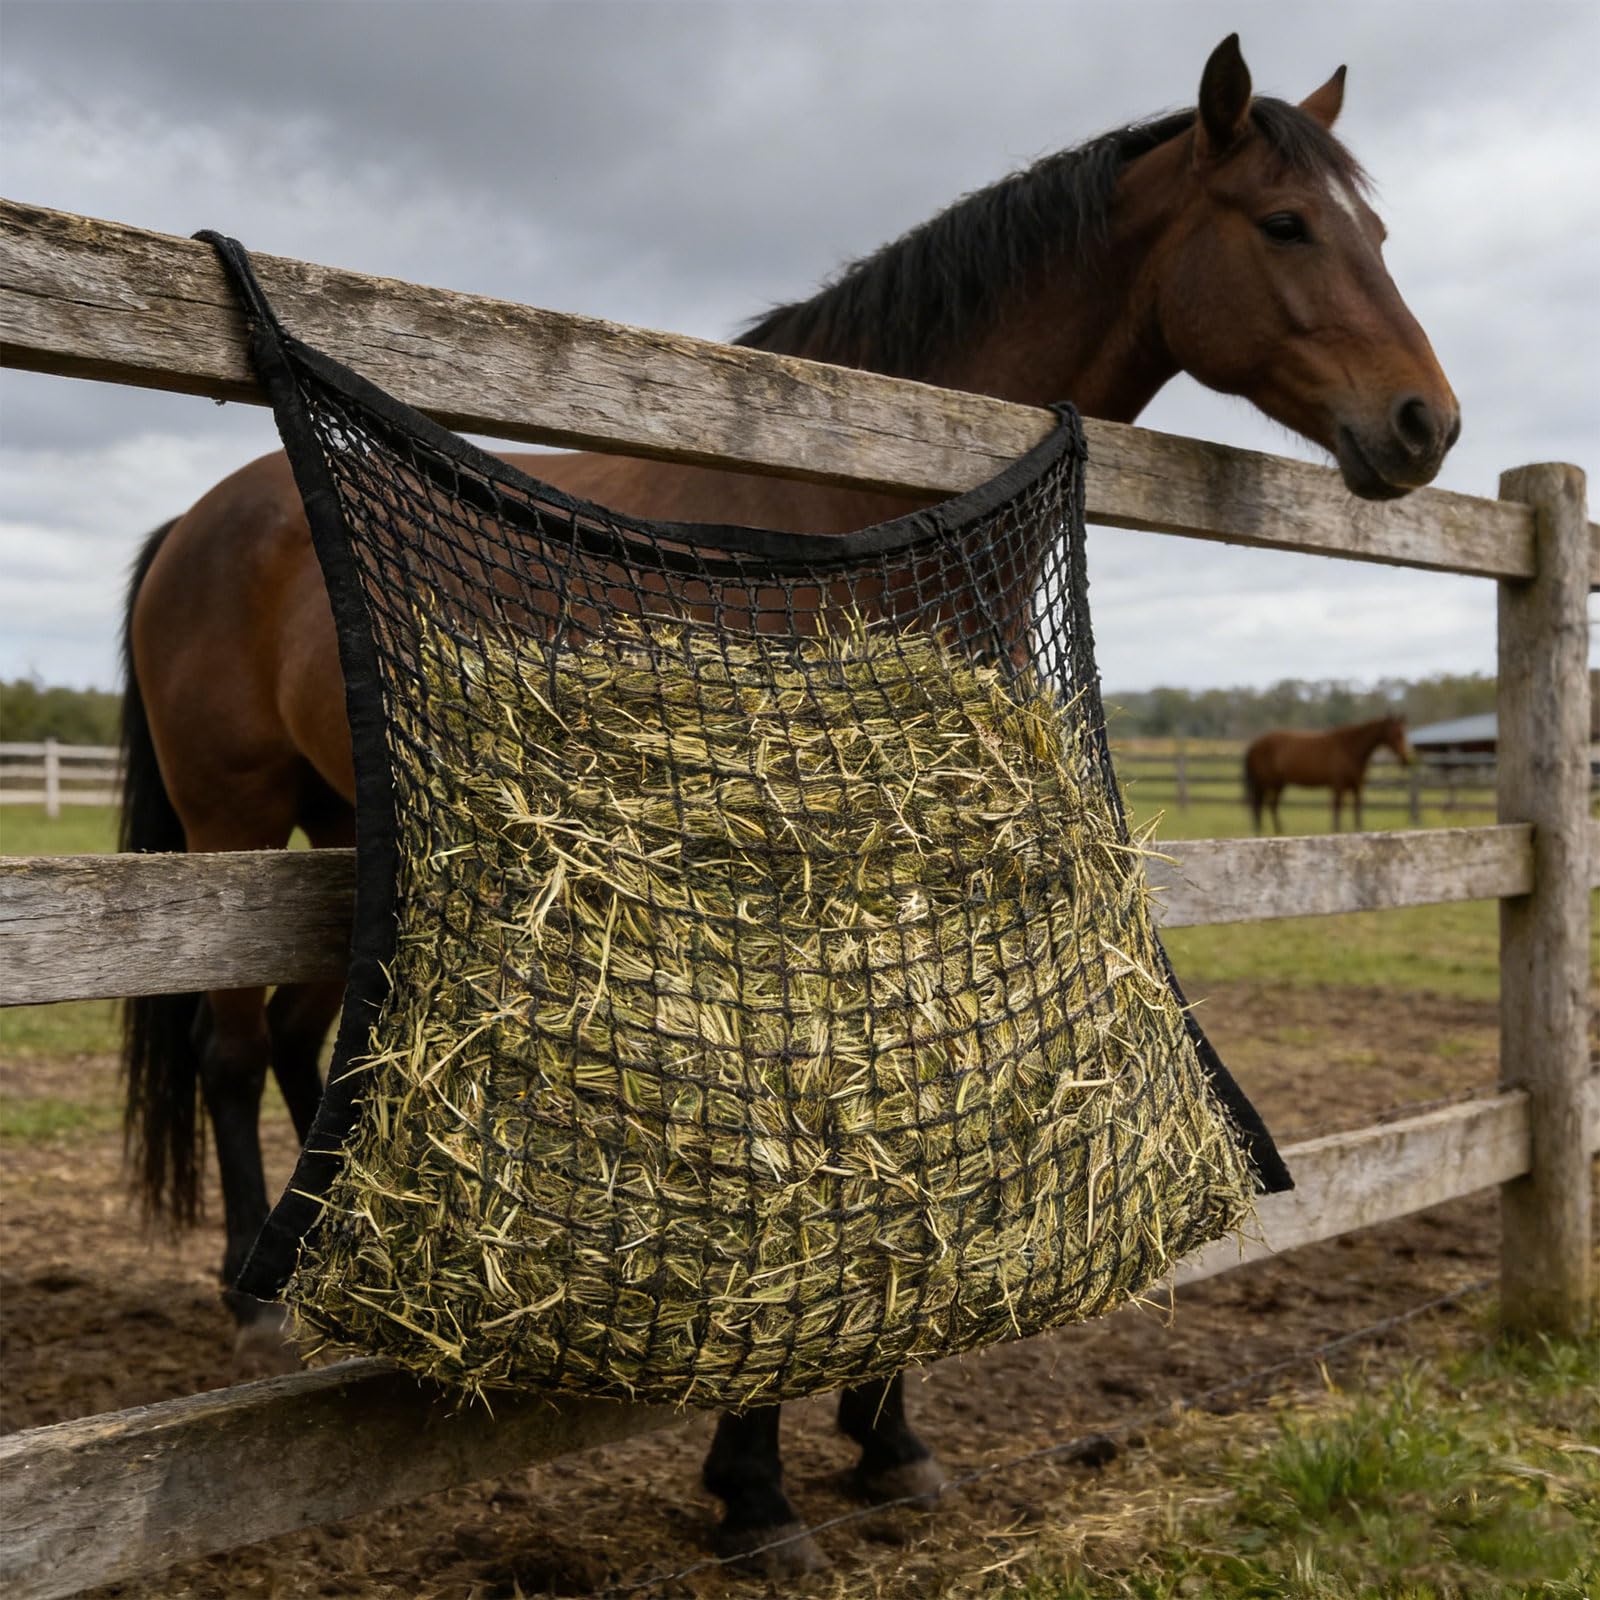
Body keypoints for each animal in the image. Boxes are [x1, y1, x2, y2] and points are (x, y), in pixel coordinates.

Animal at [1244, 713, 1414, 833]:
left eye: (1404, 732)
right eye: (1396, 733)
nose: (1406, 759)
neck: (1350, 747)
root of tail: (1254, 744)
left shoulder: (1357, 786)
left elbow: (1356, 809)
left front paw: (1358, 829)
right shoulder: (1338, 785)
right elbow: (1337, 807)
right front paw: (1336, 829)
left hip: (1278, 784)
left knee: (1269, 805)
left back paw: (1276, 830)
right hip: (1267, 783)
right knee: (1261, 804)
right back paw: (1264, 830)